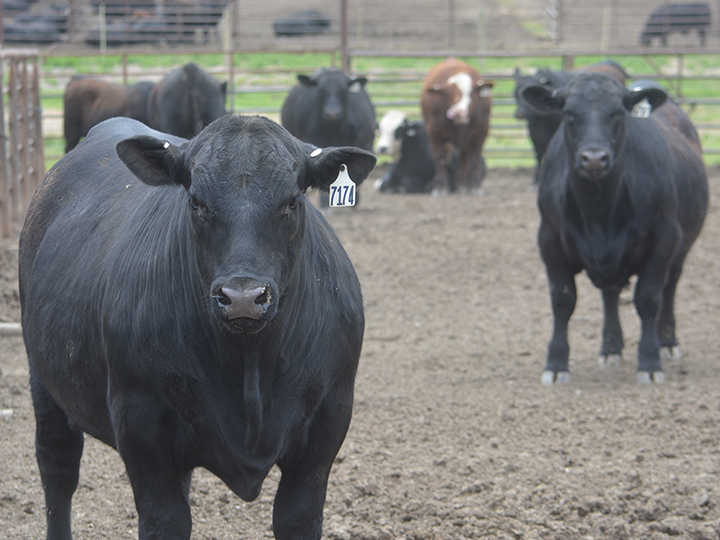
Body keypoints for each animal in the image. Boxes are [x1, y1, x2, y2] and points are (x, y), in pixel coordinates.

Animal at [17, 114, 376, 540]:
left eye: (292, 201)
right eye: (197, 203)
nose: (243, 297)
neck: (250, 363)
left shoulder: (329, 417)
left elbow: (297, 517)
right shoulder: (139, 419)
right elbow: (165, 520)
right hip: (42, 377)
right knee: (57, 467)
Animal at [282, 69, 376, 207]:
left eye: (344, 91)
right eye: (320, 91)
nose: (332, 114)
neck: (335, 131)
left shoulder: (363, 143)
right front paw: (325, 203)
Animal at [420, 58, 492, 196]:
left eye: (471, 92)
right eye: (447, 93)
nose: (459, 111)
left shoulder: (482, 130)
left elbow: (475, 156)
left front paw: (476, 186)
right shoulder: (433, 130)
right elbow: (440, 157)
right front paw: (440, 187)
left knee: (464, 157)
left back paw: (462, 185)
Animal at [520, 75, 704, 388]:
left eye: (618, 113)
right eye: (568, 112)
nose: (594, 158)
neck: (599, 212)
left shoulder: (664, 240)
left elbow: (648, 299)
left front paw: (649, 362)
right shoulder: (549, 241)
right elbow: (562, 300)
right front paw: (556, 364)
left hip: (682, 247)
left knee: (669, 288)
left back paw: (667, 342)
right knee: (610, 294)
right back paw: (611, 347)